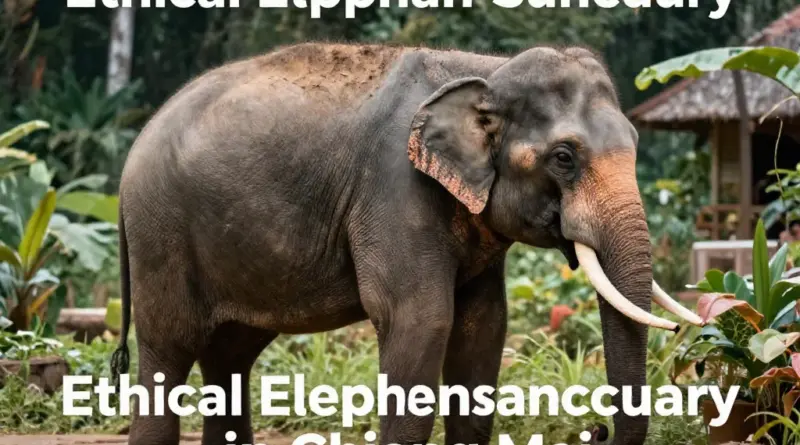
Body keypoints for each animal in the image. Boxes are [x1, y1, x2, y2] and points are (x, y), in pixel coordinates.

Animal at [111, 43, 704, 445]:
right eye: (564, 158)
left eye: (634, 143)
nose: (596, 430)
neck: (486, 70)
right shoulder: (395, 189)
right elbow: (421, 319)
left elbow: (483, 326)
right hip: (161, 232)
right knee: (170, 347)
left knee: (229, 355)